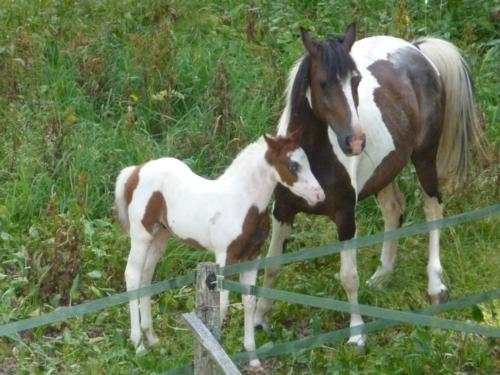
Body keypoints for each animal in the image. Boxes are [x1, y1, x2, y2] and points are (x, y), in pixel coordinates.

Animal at [114, 131, 324, 368]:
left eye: (307, 161)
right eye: (293, 165)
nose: (319, 195)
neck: (242, 203)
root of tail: (136, 170)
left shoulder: (252, 256)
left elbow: (248, 301)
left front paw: (253, 358)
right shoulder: (224, 257)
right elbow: (222, 304)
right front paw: (215, 351)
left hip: (161, 236)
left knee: (146, 276)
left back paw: (151, 338)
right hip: (141, 235)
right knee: (132, 276)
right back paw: (139, 344)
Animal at [254, 25, 484, 350]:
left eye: (356, 80)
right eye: (323, 83)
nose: (355, 142)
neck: (312, 158)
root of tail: (416, 49)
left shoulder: (345, 218)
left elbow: (348, 276)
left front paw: (357, 334)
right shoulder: (283, 211)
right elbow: (272, 265)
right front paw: (259, 320)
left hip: (425, 157)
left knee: (433, 209)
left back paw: (436, 286)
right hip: (385, 171)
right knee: (394, 210)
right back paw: (383, 276)